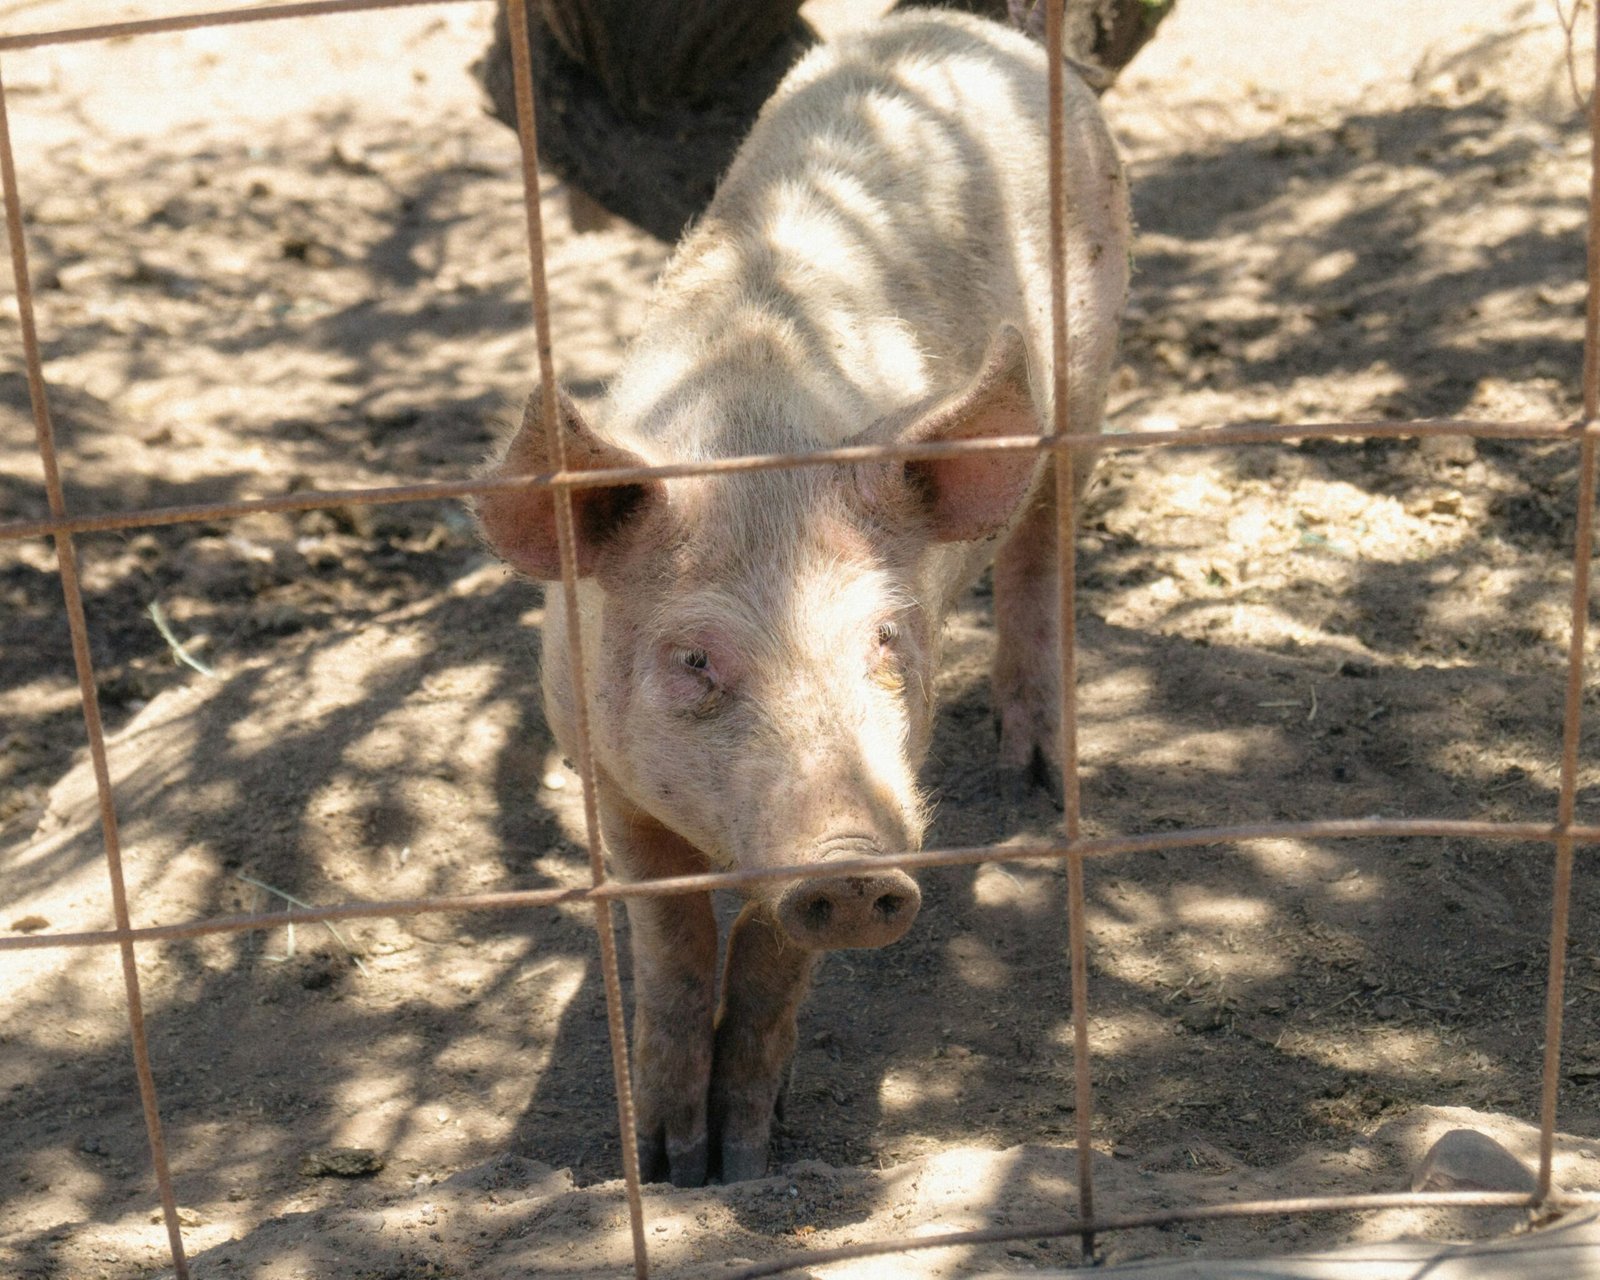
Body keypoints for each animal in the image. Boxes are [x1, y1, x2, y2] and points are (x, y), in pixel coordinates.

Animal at [477, 9, 1130, 1186]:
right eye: (694, 660)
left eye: (886, 637)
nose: (857, 866)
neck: (755, 444)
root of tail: (973, 31)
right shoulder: (598, 761)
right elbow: (675, 949)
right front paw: (671, 1164)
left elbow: (773, 950)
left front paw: (744, 1161)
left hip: (1092, 367)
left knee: (1043, 543)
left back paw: (1038, 781)